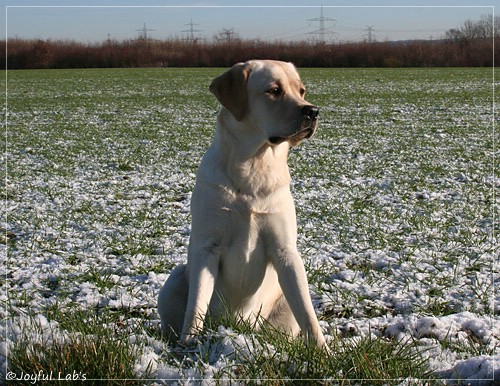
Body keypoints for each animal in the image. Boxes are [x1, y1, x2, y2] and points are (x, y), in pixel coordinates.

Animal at [158, 58, 326, 348]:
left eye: (302, 91)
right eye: (274, 90)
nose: (312, 111)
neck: (254, 165)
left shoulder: (285, 251)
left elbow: (307, 313)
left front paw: (323, 350)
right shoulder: (207, 248)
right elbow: (196, 305)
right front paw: (189, 344)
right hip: (174, 280)